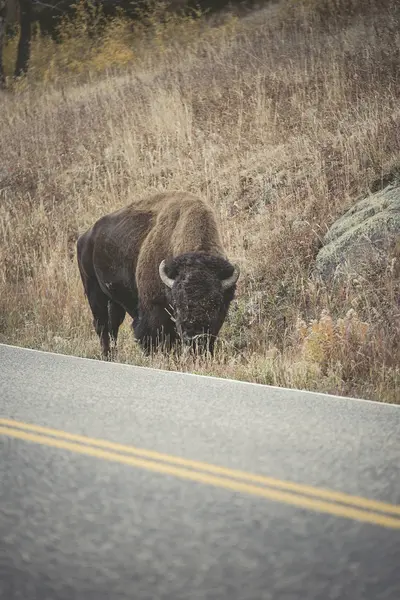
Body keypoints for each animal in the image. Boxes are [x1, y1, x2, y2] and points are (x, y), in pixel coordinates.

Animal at [77, 192, 241, 358]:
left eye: (216, 305)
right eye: (178, 304)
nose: (193, 337)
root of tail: (85, 237)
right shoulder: (153, 310)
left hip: (114, 300)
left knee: (113, 325)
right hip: (94, 292)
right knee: (102, 325)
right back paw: (107, 355)